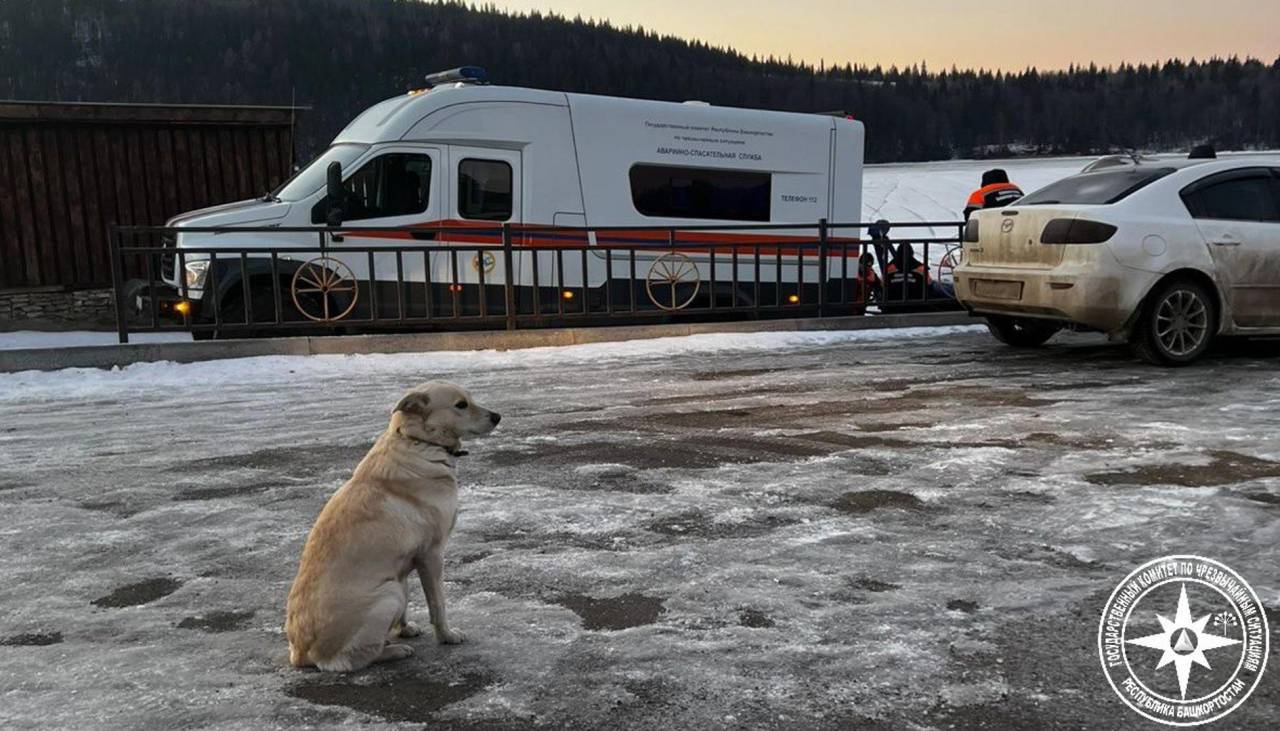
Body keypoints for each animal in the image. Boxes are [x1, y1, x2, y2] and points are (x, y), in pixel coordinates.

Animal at [285, 384, 499, 675]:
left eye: (470, 399)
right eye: (461, 405)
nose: (498, 417)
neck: (419, 441)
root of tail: (300, 654)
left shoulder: (405, 564)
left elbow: (410, 605)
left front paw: (405, 629)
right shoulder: (432, 555)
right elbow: (438, 605)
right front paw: (446, 636)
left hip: (394, 586)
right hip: (389, 594)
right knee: (349, 661)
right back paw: (394, 651)